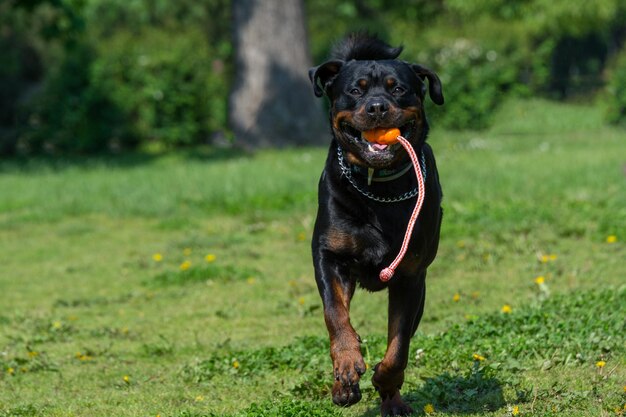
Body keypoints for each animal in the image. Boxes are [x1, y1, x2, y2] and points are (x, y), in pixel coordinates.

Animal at [308, 34, 444, 414]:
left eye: (398, 89)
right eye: (356, 90)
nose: (378, 107)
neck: (377, 189)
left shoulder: (410, 276)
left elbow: (398, 347)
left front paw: (385, 381)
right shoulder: (329, 257)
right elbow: (335, 314)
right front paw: (346, 362)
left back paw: (393, 401)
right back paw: (342, 386)